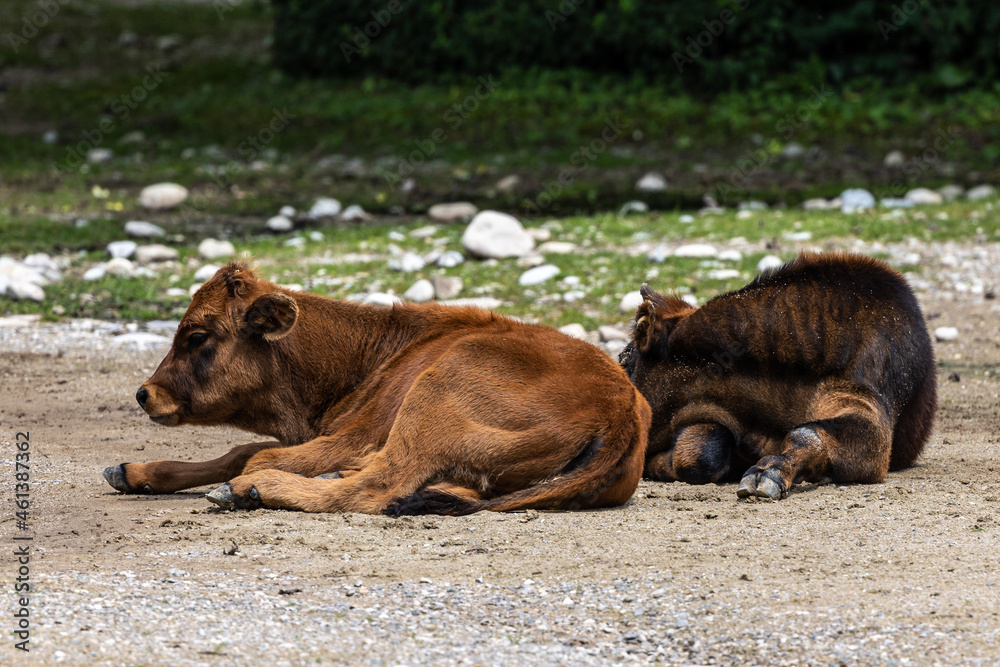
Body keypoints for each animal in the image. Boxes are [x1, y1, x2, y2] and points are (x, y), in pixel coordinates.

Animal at [102, 262, 650, 515]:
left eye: (197, 336)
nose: (145, 393)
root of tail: (620, 406)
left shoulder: (350, 435)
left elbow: (253, 456)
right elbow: (238, 451)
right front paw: (131, 472)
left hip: (433, 394)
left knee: (376, 486)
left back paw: (253, 491)